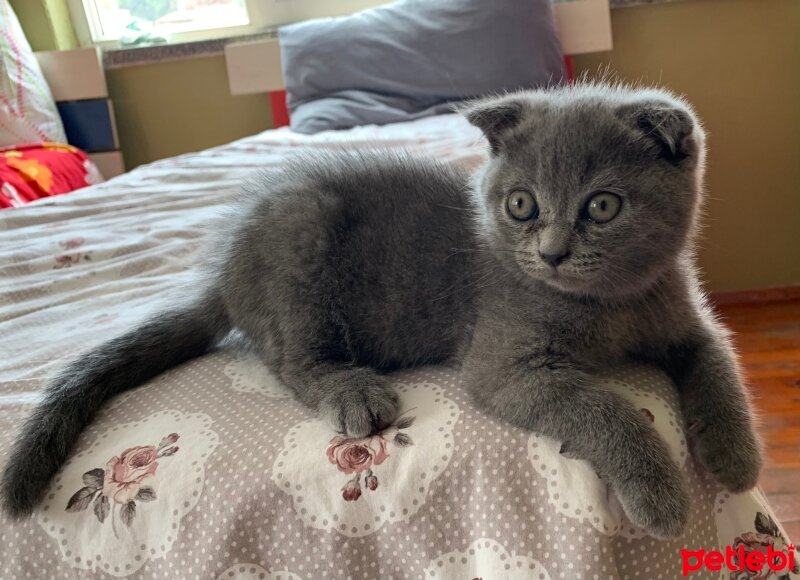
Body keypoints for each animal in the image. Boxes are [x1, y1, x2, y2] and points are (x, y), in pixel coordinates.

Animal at [1, 82, 764, 540]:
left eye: (602, 206)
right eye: (521, 205)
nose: (550, 253)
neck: (611, 307)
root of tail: (223, 273)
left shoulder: (685, 319)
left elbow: (719, 363)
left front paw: (734, 454)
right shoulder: (503, 364)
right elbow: (603, 408)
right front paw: (660, 493)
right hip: (301, 237)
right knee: (292, 359)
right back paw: (353, 391)